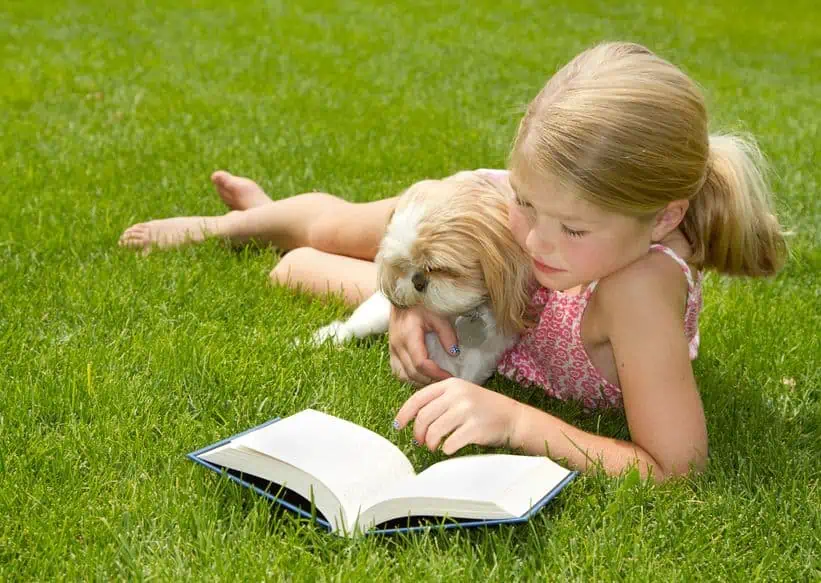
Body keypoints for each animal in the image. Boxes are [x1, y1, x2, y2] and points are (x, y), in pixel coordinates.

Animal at [308, 170, 532, 388]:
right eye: (404, 265)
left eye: (439, 268)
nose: (417, 281)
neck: (462, 315)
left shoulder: (489, 350)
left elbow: (468, 374)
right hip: (374, 316)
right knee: (350, 327)